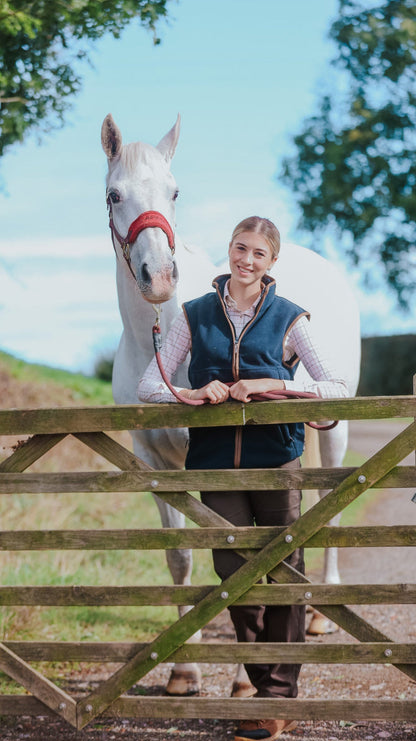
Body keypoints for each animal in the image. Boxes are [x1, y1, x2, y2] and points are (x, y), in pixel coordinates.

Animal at [101, 112, 360, 696]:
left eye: (175, 192)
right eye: (114, 195)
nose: (159, 276)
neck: (159, 336)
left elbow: (246, 559)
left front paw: (245, 679)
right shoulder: (152, 460)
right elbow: (180, 559)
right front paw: (183, 670)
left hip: (336, 423)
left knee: (331, 503)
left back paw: (319, 614)